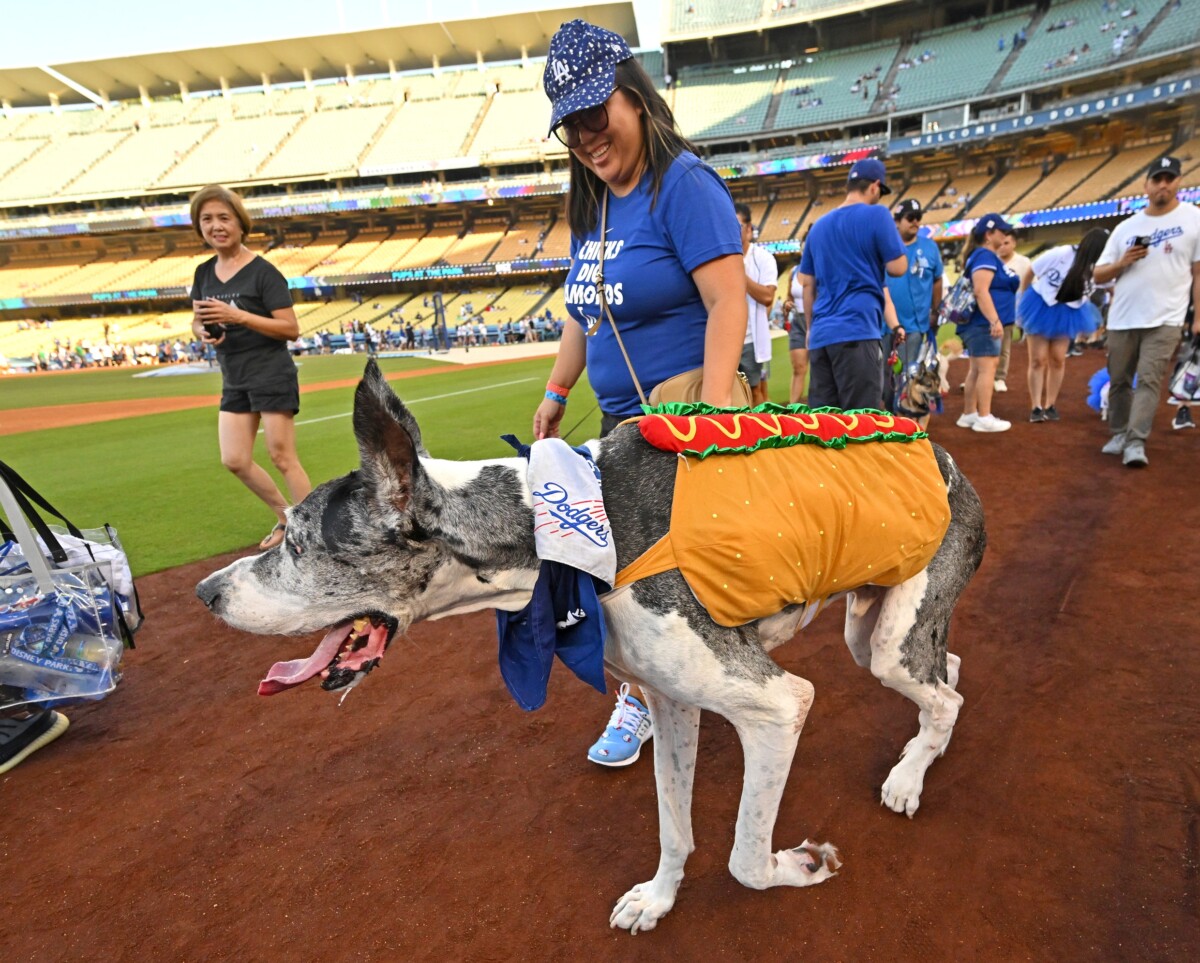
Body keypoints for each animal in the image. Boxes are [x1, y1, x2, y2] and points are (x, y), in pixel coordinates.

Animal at [194, 362, 984, 931]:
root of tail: (943, 453)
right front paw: (658, 899)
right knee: (948, 671)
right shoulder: (671, 699)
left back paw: (908, 777)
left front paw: (804, 865)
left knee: (944, 693)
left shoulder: (777, 705)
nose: (205, 592)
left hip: (888, 639)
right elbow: (674, 826)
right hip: (873, 625)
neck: (553, 526)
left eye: (295, 542)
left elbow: (745, 859)